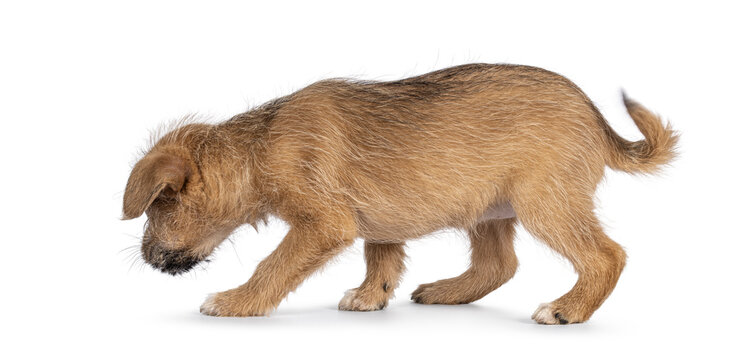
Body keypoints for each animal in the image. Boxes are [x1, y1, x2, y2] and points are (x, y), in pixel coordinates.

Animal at [122, 63, 680, 324]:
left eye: (155, 207)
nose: (146, 258)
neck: (258, 147)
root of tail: (597, 118)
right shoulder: (379, 225)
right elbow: (383, 261)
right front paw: (372, 297)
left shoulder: (323, 226)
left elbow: (273, 265)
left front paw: (238, 302)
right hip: (489, 212)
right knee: (498, 265)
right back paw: (446, 291)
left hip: (546, 204)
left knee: (606, 255)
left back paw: (568, 309)